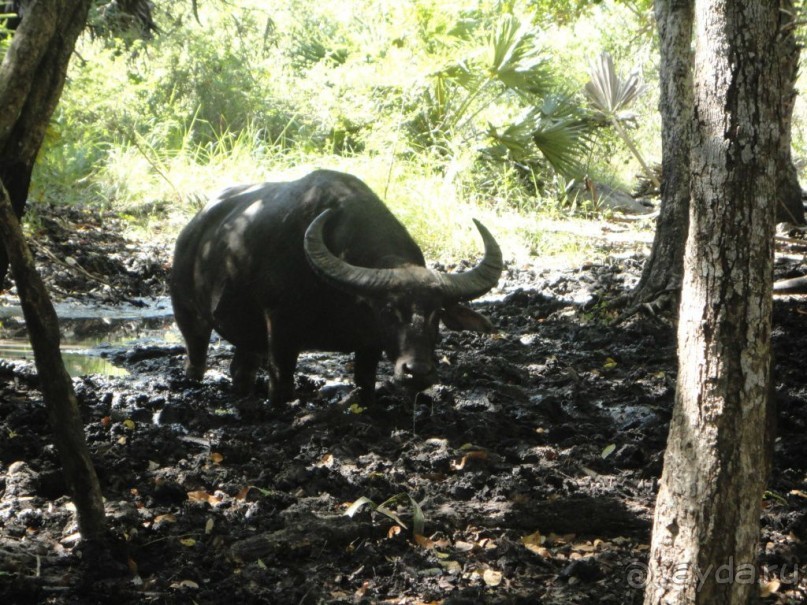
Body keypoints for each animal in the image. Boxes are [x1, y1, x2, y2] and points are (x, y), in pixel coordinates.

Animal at [168, 169, 502, 402]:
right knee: (196, 356)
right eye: (389, 310)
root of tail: (194, 227)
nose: (417, 371)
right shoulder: (280, 330)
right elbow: (282, 386)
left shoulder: (369, 345)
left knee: (242, 368)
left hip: (248, 336)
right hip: (188, 314)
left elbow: (365, 382)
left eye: (437, 313)